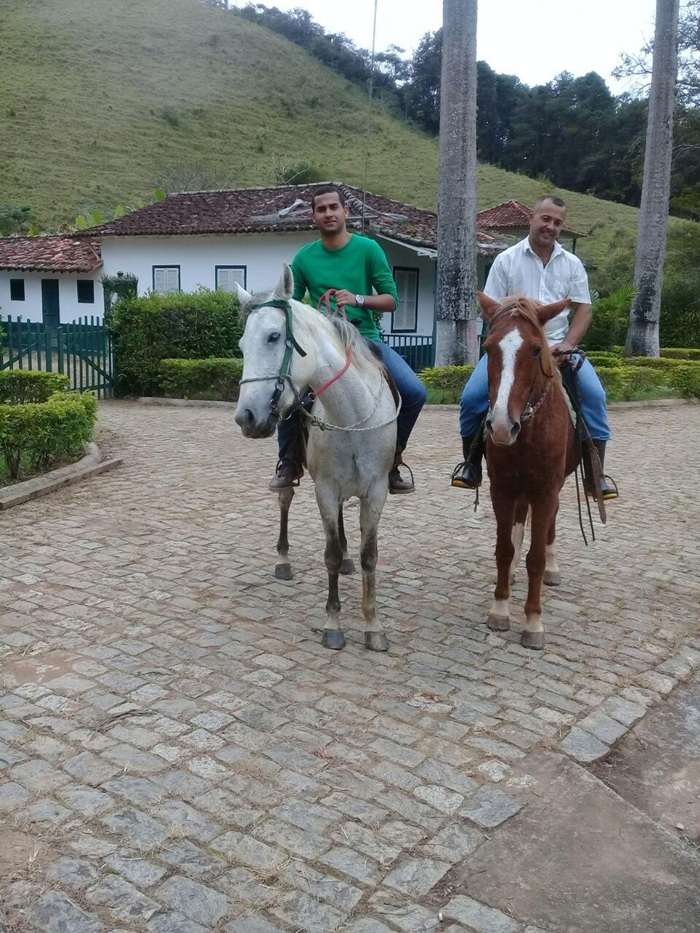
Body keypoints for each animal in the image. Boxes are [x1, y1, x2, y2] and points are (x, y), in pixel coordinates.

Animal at [234, 264, 396, 648]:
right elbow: (331, 554)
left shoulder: (376, 492)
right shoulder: (325, 489)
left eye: (274, 336)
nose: (246, 417)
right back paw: (283, 559)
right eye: (242, 345)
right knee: (285, 499)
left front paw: (373, 625)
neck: (352, 417)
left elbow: (370, 556)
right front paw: (333, 623)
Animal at [482, 294, 580, 648]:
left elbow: (535, 557)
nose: (500, 426)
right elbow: (504, 549)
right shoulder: (501, 488)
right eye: (487, 348)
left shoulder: (546, 491)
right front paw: (500, 609)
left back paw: (552, 568)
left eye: (536, 350)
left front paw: (533, 622)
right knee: (518, 522)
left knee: (550, 524)